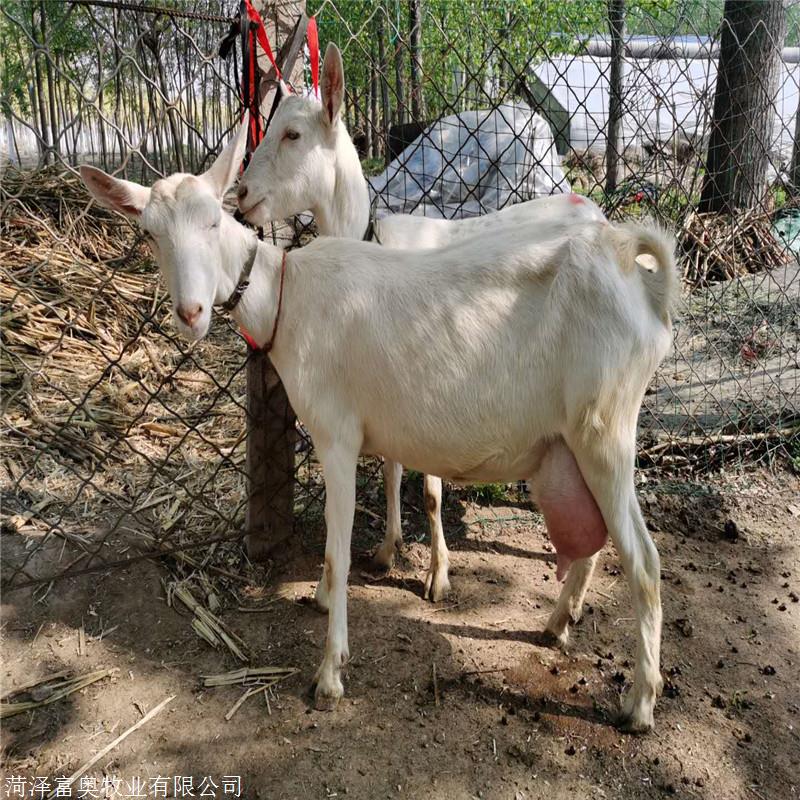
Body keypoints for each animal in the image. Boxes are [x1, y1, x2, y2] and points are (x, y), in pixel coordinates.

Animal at [81, 120, 680, 732]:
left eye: (212, 221)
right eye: (150, 234)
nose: (191, 313)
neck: (287, 295)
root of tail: (637, 277)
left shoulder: (336, 435)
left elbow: (336, 548)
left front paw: (329, 673)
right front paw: (329, 597)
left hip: (605, 429)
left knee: (645, 563)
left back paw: (640, 703)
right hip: (574, 443)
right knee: (596, 542)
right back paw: (558, 624)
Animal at [236, 39, 608, 600]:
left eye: (293, 133)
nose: (240, 194)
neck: (371, 239)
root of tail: (599, 214)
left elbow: (429, 491)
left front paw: (438, 575)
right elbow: (391, 468)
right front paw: (386, 551)